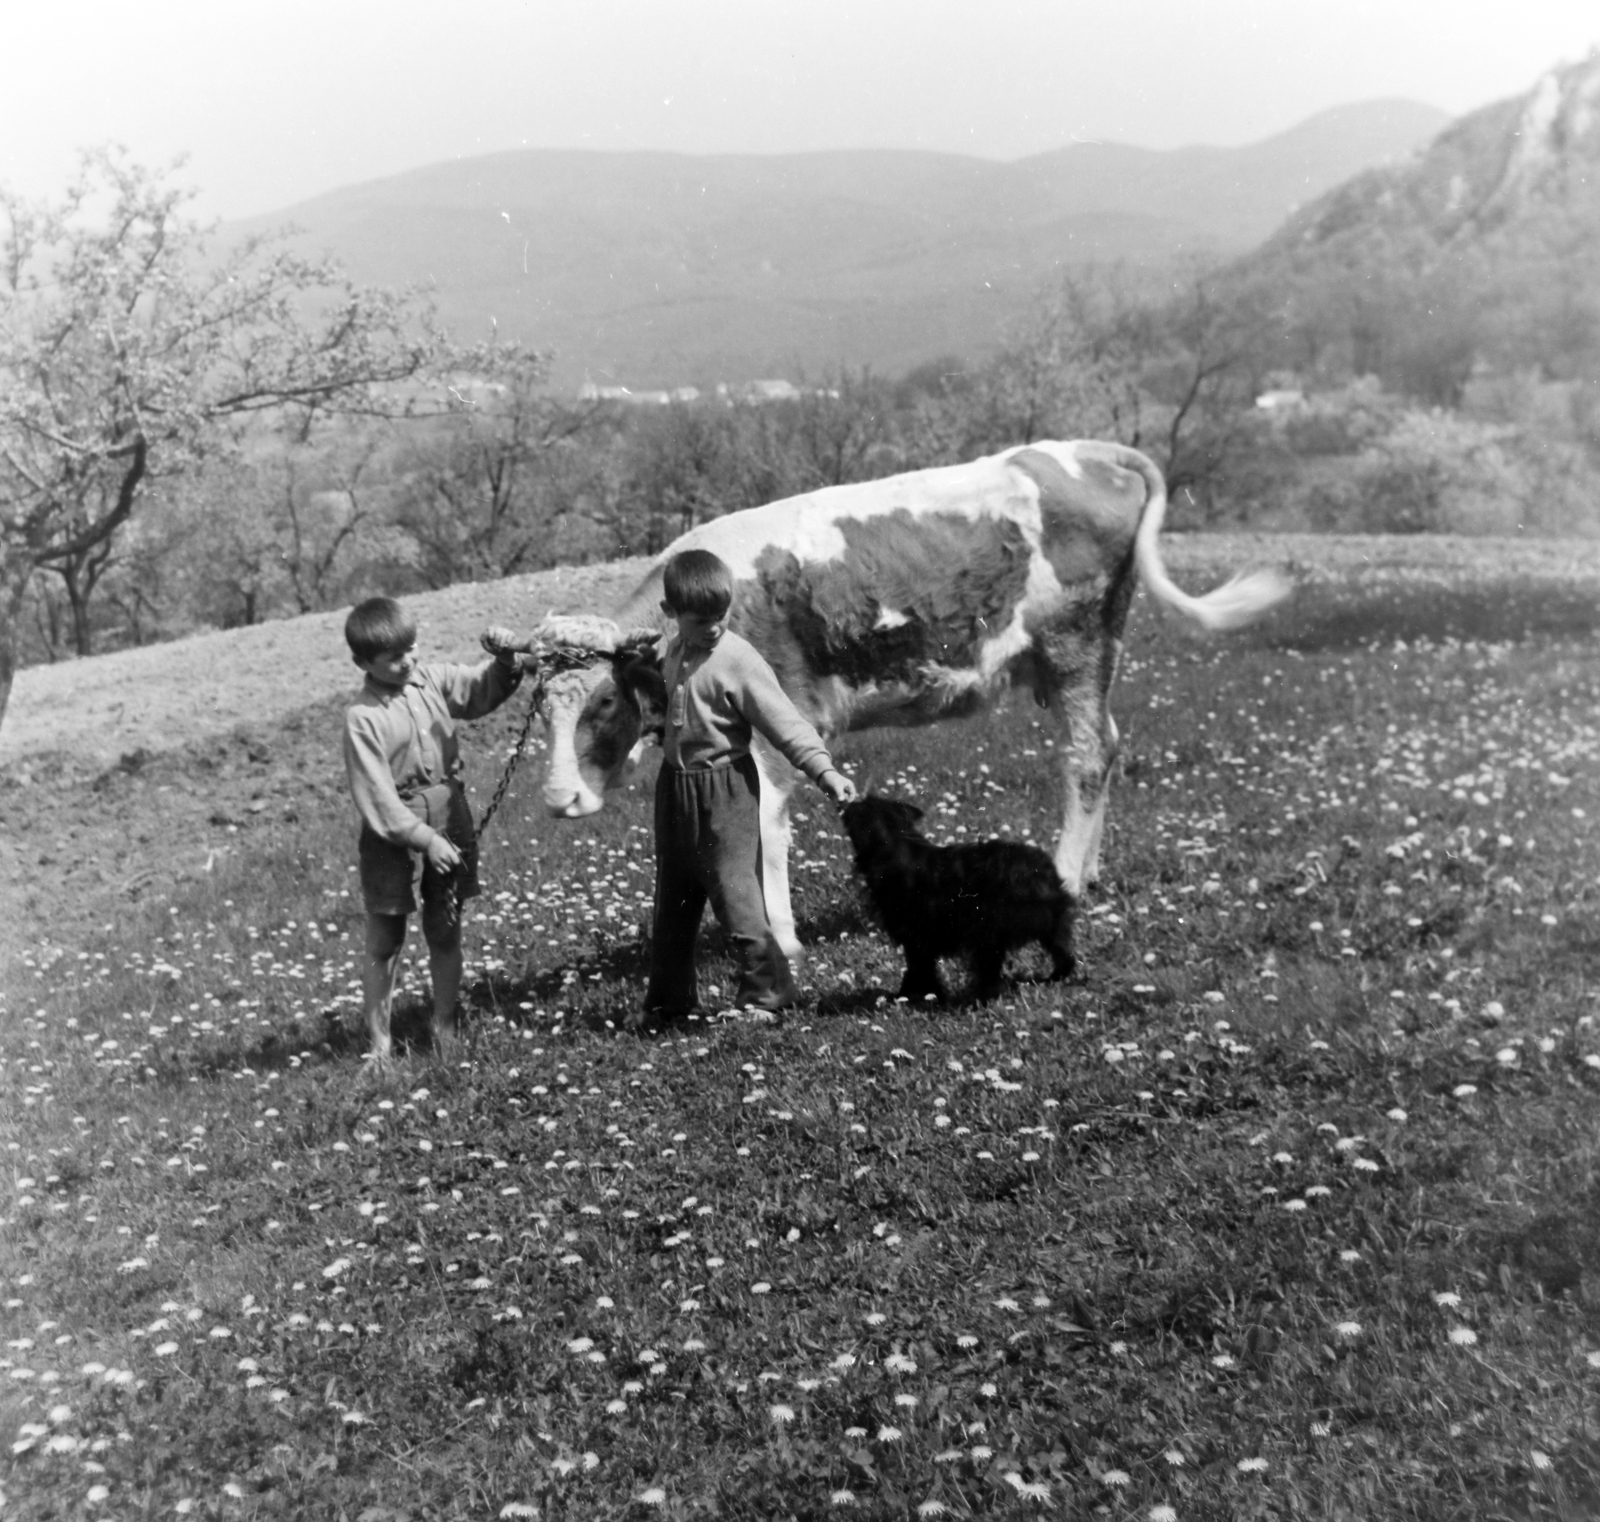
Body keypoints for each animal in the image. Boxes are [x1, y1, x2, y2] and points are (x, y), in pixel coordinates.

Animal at [531, 441, 1292, 966]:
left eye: (605, 701)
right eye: (540, 711)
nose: (559, 799)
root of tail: (1080, 450)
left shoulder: (776, 720)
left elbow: (767, 827)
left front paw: (781, 938)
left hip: (1075, 643)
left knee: (1087, 755)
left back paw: (1072, 876)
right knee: (1106, 746)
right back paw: (1092, 868)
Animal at [838, 790, 1075, 1005]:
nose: (846, 802)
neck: (895, 843)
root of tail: (1040, 870)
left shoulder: (916, 937)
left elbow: (918, 968)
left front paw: (914, 996)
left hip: (988, 931)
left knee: (989, 972)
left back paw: (980, 998)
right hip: (1050, 926)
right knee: (1064, 956)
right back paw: (1052, 979)